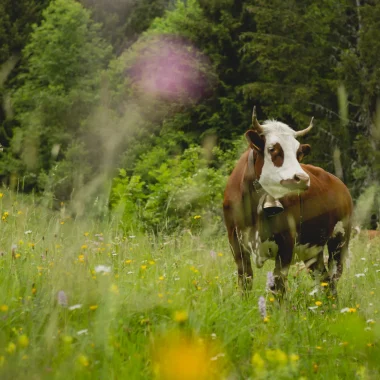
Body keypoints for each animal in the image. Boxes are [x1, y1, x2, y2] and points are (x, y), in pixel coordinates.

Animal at [223, 108, 354, 296]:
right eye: (272, 149)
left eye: (298, 152)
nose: (302, 178)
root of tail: (340, 184)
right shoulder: (235, 243)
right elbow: (245, 281)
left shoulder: (287, 242)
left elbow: (278, 286)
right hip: (313, 252)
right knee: (324, 280)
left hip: (340, 240)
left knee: (333, 278)